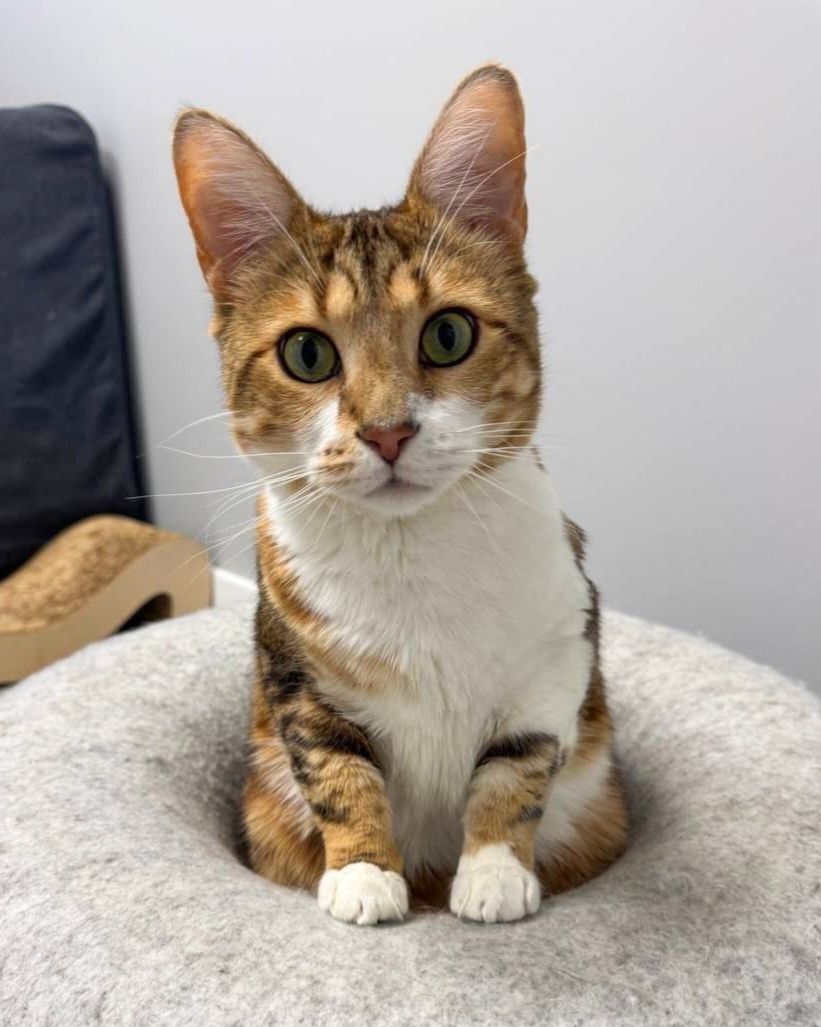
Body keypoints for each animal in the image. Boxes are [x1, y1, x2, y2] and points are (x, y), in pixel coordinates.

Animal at [172, 64, 627, 925]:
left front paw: (491, 874)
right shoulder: (294, 674)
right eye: (307, 353)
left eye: (448, 333)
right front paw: (362, 874)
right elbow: (333, 766)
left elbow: (519, 763)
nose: (386, 432)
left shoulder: (557, 648)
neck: (412, 550)